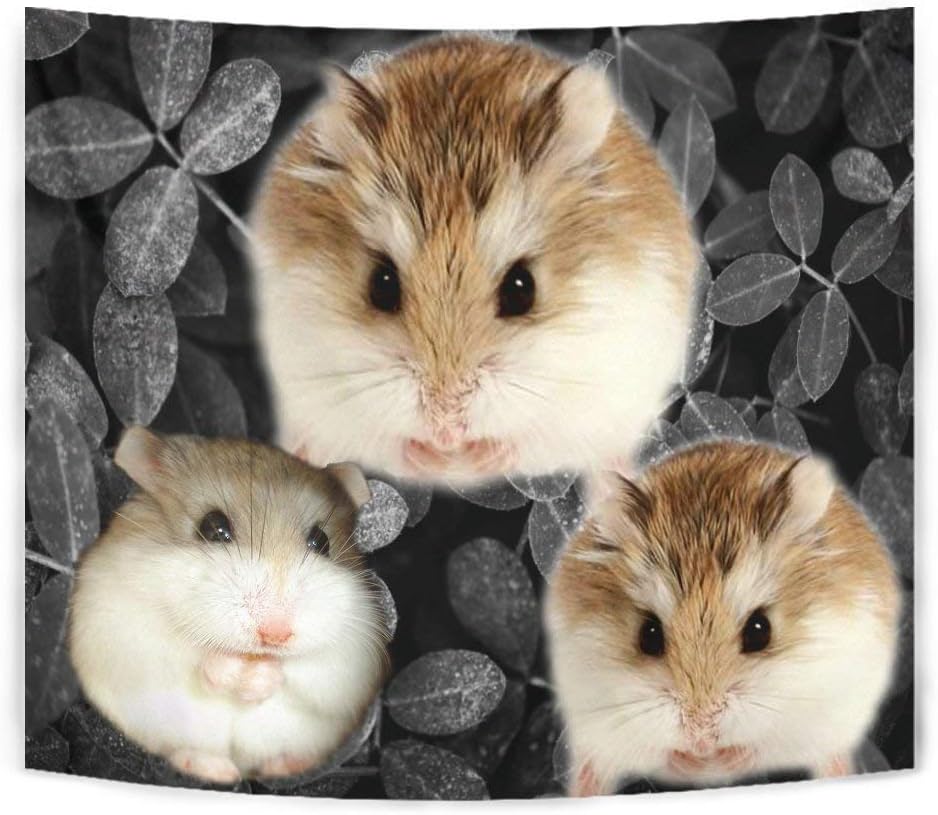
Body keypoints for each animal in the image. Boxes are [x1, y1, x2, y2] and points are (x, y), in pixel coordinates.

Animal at [67, 428, 389, 784]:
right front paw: (234, 672)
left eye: (322, 542)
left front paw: (258, 678)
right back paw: (215, 771)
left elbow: (302, 670)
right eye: (212, 527)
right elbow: (189, 654)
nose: (275, 635)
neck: (251, 653)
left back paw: (284, 766)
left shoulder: (355, 655)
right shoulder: (121, 625)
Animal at [250, 34, 696, 484]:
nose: (446, 431)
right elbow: (390, 441)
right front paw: (436, 458)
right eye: (381, 285)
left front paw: (472, 457)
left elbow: (523, 438)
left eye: (522, 289)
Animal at [544, 441, 900, 796]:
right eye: (648, 635)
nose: (701, 738)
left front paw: (720, 760)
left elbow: (757, 746)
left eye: (760, 631)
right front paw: (694, 762)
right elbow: (661, 752)